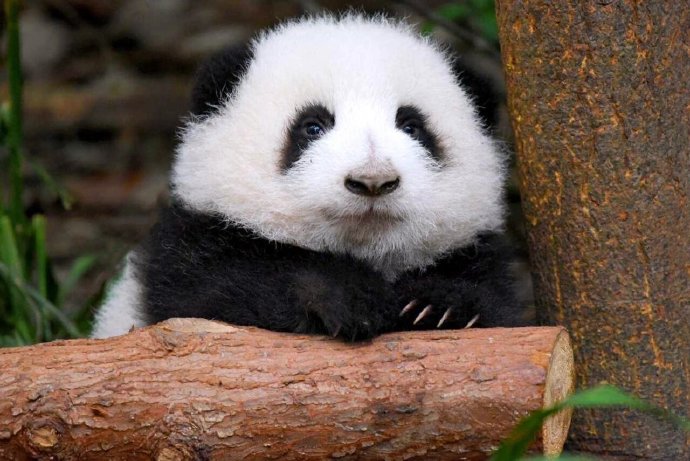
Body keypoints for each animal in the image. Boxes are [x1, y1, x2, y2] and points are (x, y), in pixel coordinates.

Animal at [92, 14, 529, 341]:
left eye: (412, 126)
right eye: (313, 126)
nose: (372, 181)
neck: (363, 250)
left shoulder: (480, 257)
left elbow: (499, 307)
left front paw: (436, 307)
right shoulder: (189, 250)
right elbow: (216, 297)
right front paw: (346, 298)